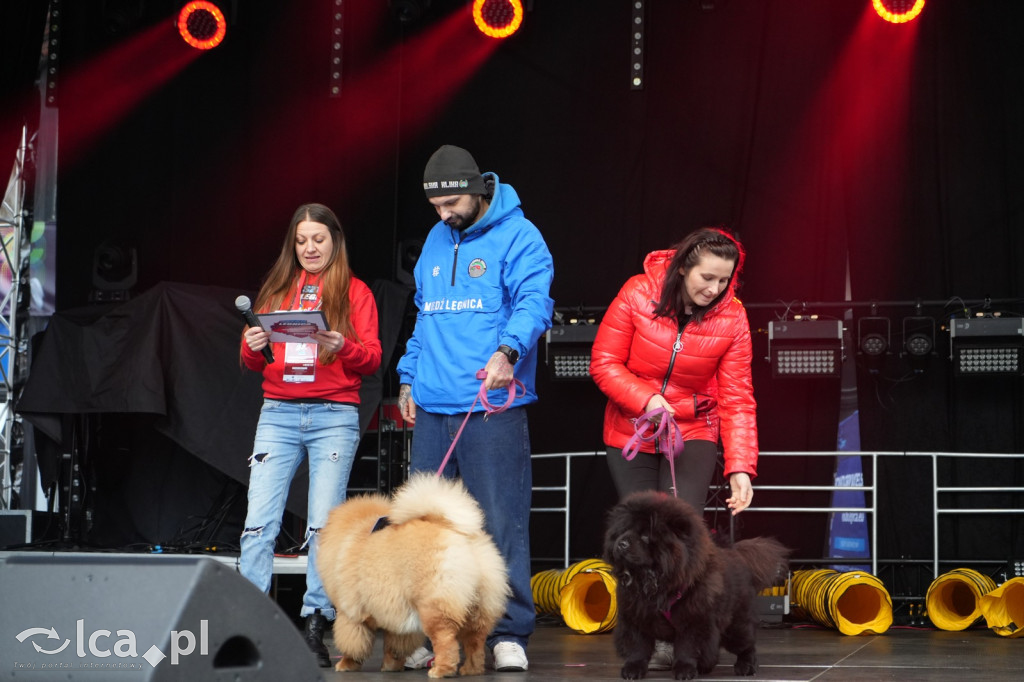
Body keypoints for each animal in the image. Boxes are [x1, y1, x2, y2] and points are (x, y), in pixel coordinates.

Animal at [315, 473, 507, 675]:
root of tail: (458, 535)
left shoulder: (350, 614)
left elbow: (353, 643)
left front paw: (346, 664)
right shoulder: (396, 616)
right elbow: (394, 646)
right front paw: (391, 667)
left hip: (433, 607)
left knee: (446, 640)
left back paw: (441, 670)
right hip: (477, 608)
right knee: (475, 643)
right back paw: (471, 670)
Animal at [602, 491, 786, 675]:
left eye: (646, 536)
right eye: (623, 531)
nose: (621, 543)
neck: (654, 582)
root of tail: (736, 553)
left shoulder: (694, 619)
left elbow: (688, 647)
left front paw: (685, 670)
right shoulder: (635, 616)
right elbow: (637, 647)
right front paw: (633, 669)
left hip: (736, 626)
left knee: (747, 645)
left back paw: (746, 666)